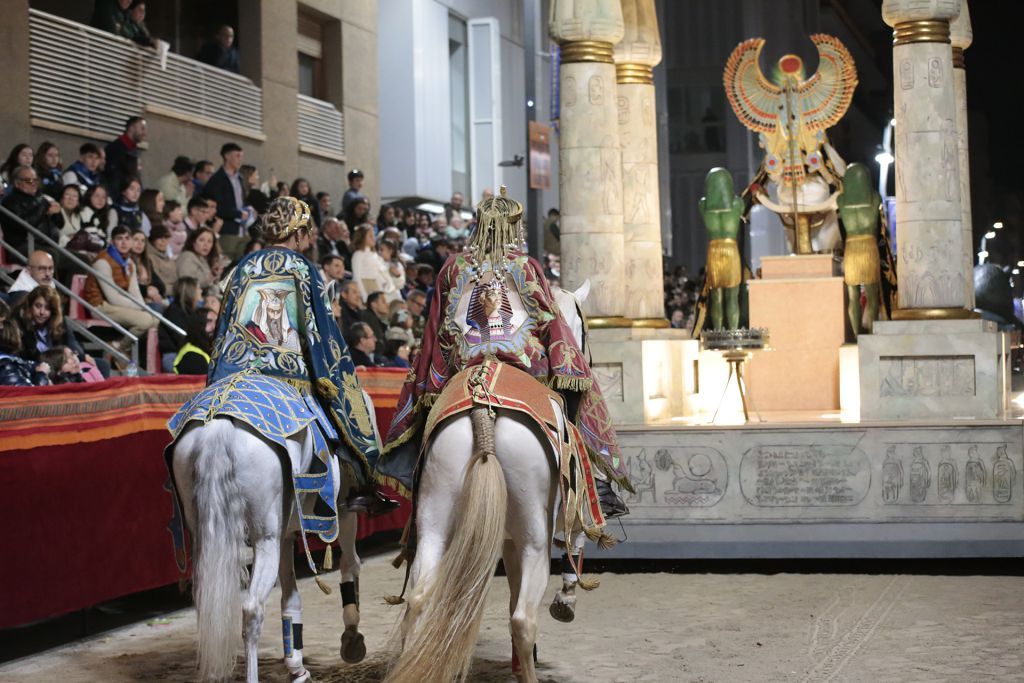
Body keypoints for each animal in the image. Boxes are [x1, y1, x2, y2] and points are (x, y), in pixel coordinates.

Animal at [167, 385, 376, 683]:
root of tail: (219, 424)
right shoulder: (345, 512)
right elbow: (351, 564)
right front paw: (352, 639)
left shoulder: (286, 534)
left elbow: (290, 596)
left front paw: (296, 665)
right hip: (266, 539)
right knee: (252, 609)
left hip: (211, 537)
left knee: (210, 606)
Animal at [385, 280, 598, 679]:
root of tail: (484, 412)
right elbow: (569, 547)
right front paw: (564, 602)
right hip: (533, 536)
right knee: (522, 618)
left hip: (434, 516)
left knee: (419, 598)